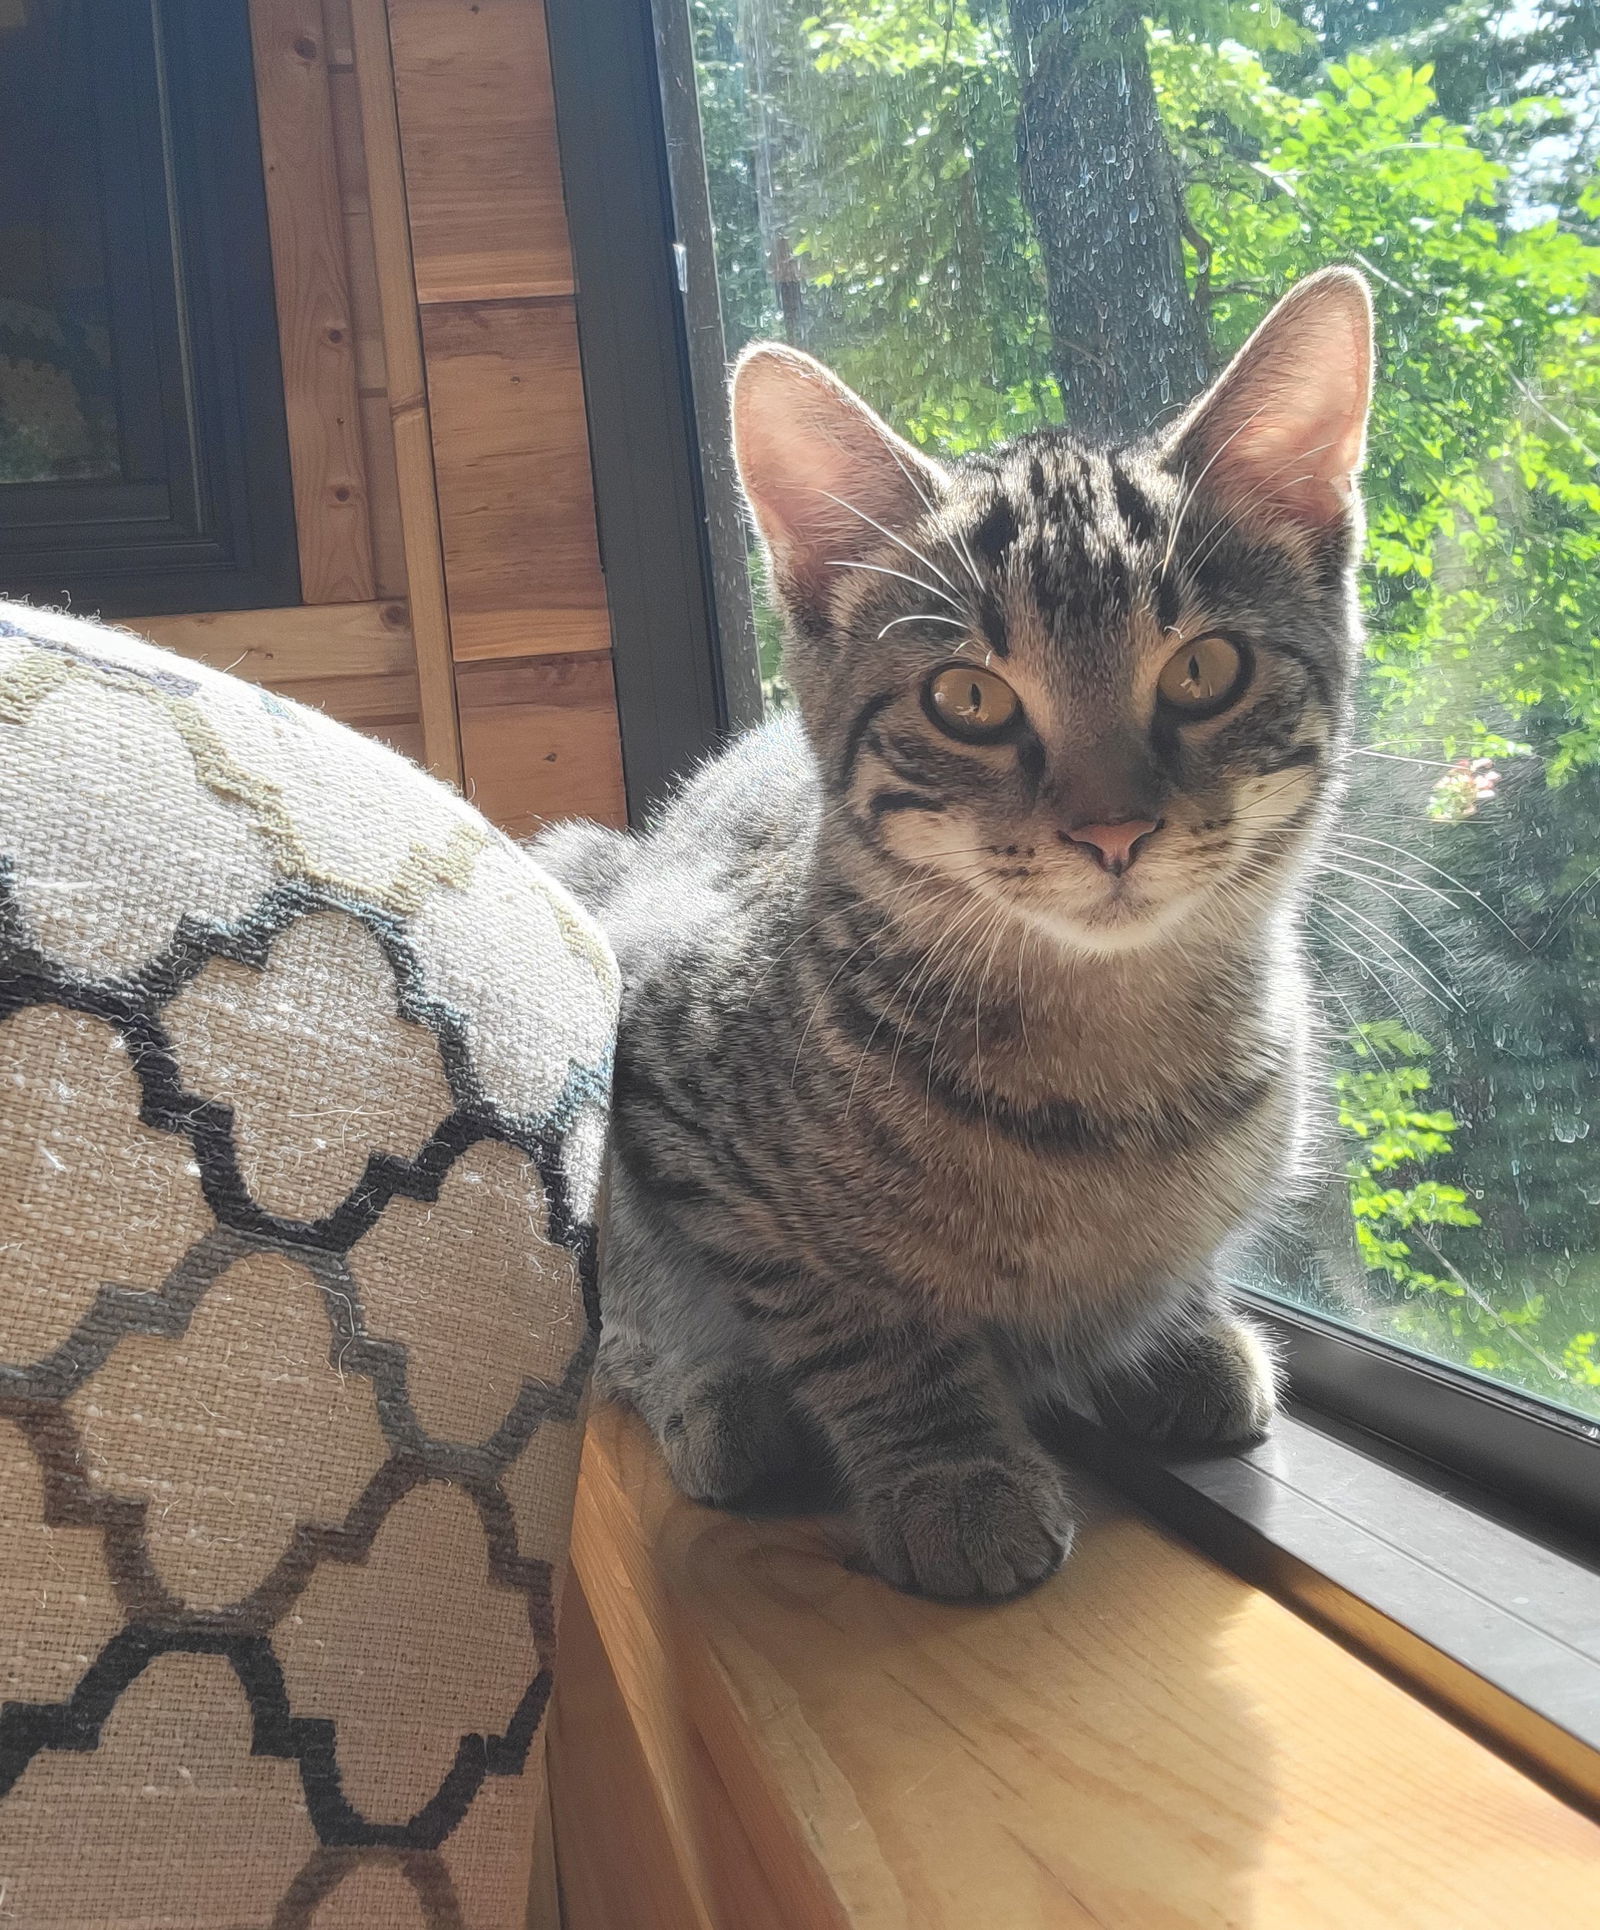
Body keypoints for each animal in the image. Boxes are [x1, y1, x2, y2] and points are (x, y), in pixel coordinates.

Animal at [536, 268, 1374, 1598]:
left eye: (1205, 670)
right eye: (968, 697)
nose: (1112, 827)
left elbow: (1176, 1255)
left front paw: (1178, 1327)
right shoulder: (664, 1068)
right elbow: (853, 1315)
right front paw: (951, 1471)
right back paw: (719, 1404)